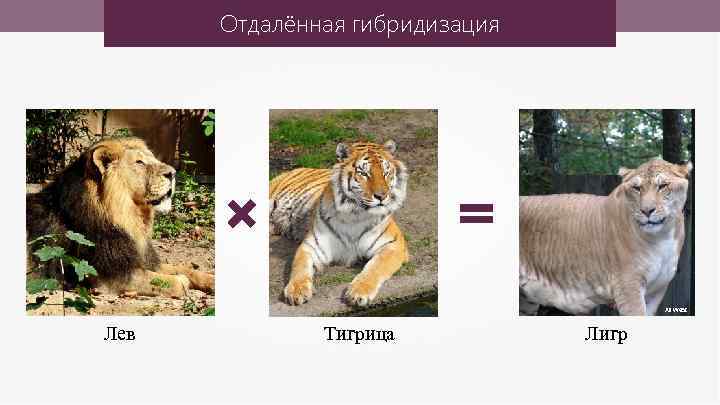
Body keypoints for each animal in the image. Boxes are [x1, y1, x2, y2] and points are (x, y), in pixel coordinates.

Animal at [26, 137, 214, 298]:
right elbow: (169, 281)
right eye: (139, 162)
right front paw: (183, 282)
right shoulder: (109, 276)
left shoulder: (140, 258)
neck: (131, 219)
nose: (173, 174)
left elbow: (185, 269)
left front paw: (210, 279)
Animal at [519, 159, 692, 316]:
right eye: (637, 188)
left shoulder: (656, 293)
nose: (646, 211)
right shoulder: (628, 287)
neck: (662, 237)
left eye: (662, 186)